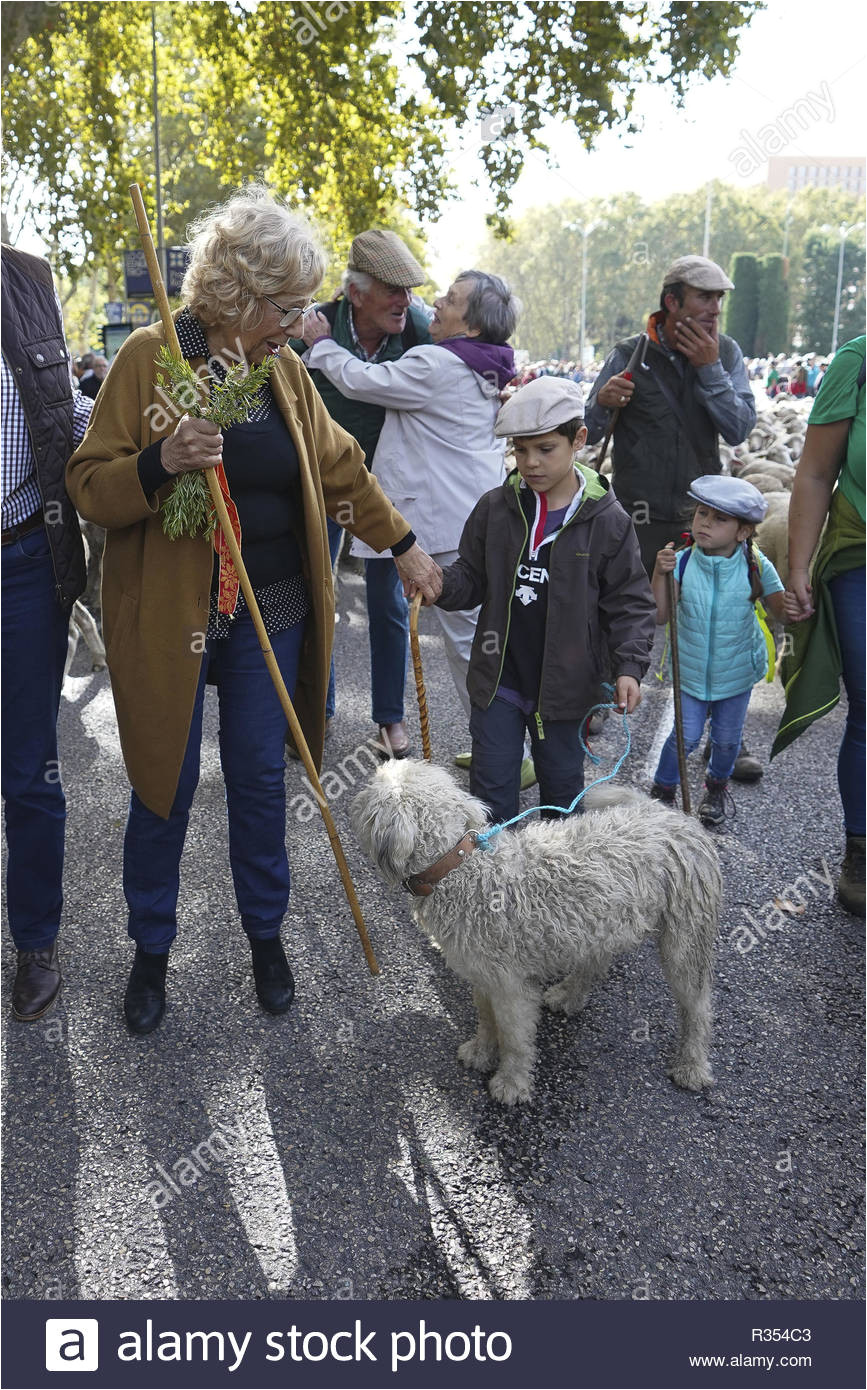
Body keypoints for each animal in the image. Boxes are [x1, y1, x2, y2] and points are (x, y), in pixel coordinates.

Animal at [348, 761, 722, 1106]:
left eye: (369, 793)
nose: (353, 800)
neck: (460, 869)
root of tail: (670, 815)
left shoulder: (511, 986)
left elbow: (514, 1039)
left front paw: (511, 1084)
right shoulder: (483, 977)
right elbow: (486, 1021)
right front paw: (481, 1053)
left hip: (685, 940)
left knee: (698, 1006)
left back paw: (692, 1065)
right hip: (602, 923)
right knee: (595, 962)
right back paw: (569, 995)